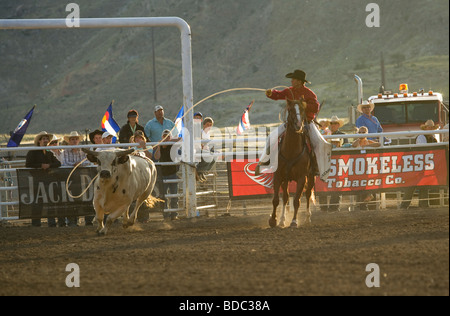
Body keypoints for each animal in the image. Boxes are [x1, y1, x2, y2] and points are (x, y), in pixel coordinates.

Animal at [268, 99, 314, 227]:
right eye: (291, 109)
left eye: (302, 109)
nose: (299, 125)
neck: (291, 150)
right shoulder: (278, 176)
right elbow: (276, 200)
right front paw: (273, 220)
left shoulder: (302, 178)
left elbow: (297, 201)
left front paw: (294, 221)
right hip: (286, 179)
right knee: (285, 197)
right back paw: (282, 220)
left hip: (311, 176)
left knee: (308, 194)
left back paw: (307, 218)